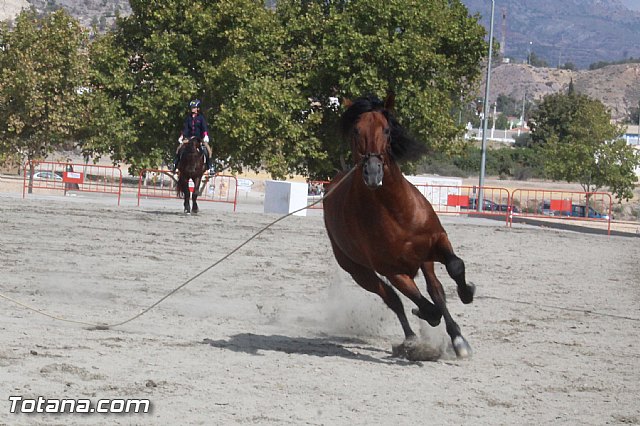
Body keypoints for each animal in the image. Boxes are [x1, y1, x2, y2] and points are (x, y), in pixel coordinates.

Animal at [323, 94, 476, 359]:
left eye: (386, 129)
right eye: (356, 130)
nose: (373, 173)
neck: (397, 211)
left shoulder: (436, 242)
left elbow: (455, 268)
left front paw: (467, 293)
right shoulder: (393, 271)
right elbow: (423, 305)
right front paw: (424, 318)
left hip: (424, 260)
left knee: (435, 290)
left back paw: (455, 337)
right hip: (359, 271)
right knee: (394, 299)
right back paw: (412, 339)